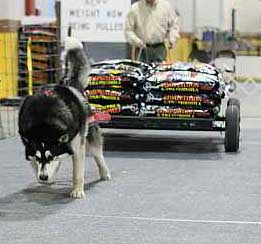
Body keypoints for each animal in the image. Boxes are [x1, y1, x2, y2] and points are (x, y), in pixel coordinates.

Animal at [18, 37, 109, 199]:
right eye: (39, 157)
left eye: (50, 157)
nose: (43, 177)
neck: (44, 123)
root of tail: (69, 82)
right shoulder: (29, 146)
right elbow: (35, 164)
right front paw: (44, 176)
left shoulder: (77, 146)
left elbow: (77, 172)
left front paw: (77, 190)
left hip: (89, 134)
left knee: (98, 153)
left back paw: (104, 172)